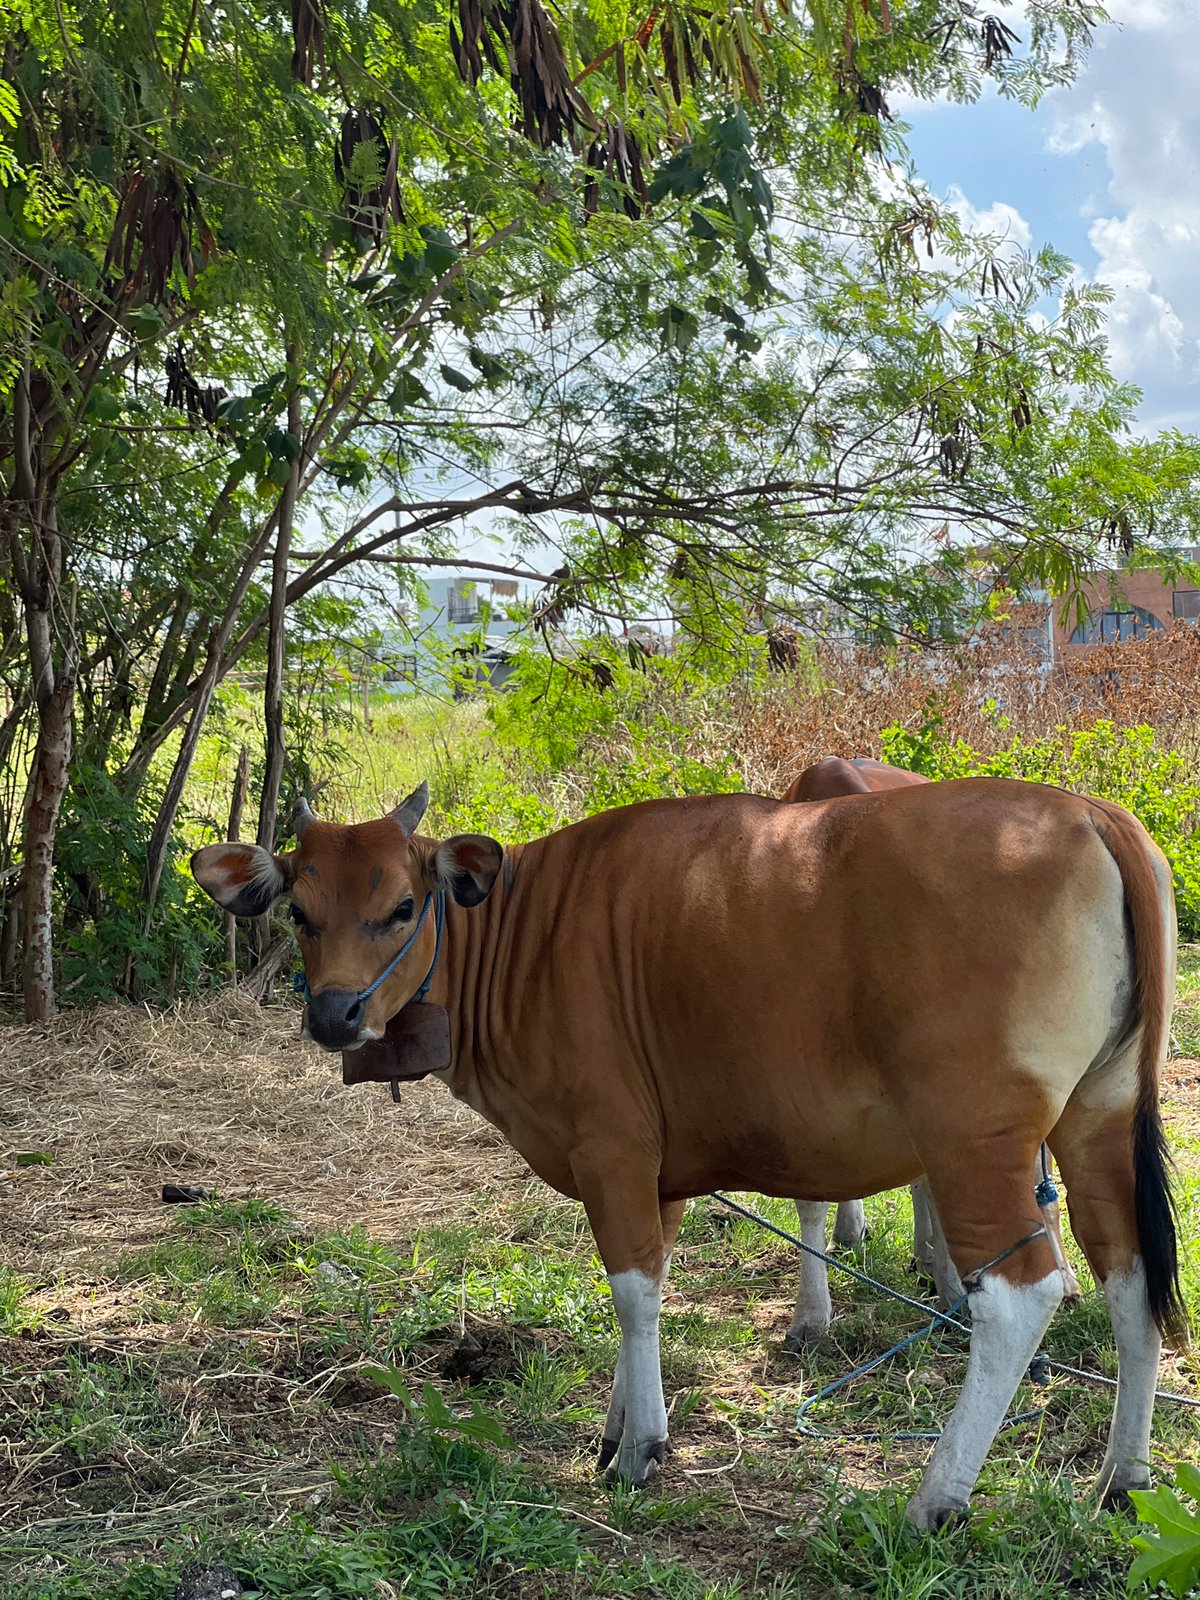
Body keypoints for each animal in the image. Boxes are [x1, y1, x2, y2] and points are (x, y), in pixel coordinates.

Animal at [192, 778, 1185, 1529]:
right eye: (301, 911)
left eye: (401, 906)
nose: (335, 1015)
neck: (524, 937)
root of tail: (1088, 813)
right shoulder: (655, 1167)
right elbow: (653, 1281)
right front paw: (617, 1425)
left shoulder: (611, 1146)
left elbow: (631, 1291)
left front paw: (642, 1447)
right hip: (1096, 1116)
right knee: (1130, 1275)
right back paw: (1122, 1478)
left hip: (974, 1136)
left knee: (1022, 1296)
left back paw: (935, 1496)